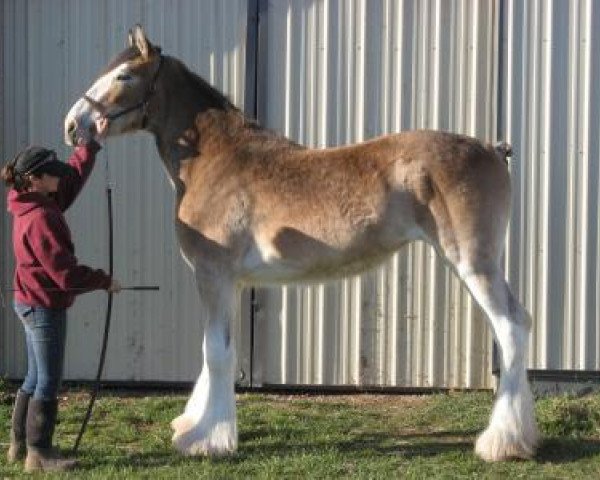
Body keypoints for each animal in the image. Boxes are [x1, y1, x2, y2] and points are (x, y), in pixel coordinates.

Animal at [64, 25, 540, 462]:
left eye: (124, 75)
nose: (73, 125)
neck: (217, 161)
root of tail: (493, 149)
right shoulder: (230, 283)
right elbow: (219, 352)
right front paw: (195, 423)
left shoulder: (213, 275)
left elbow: (214, 353)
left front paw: (205, 440)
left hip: (473, 263)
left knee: (512, 329)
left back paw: (501, 442)